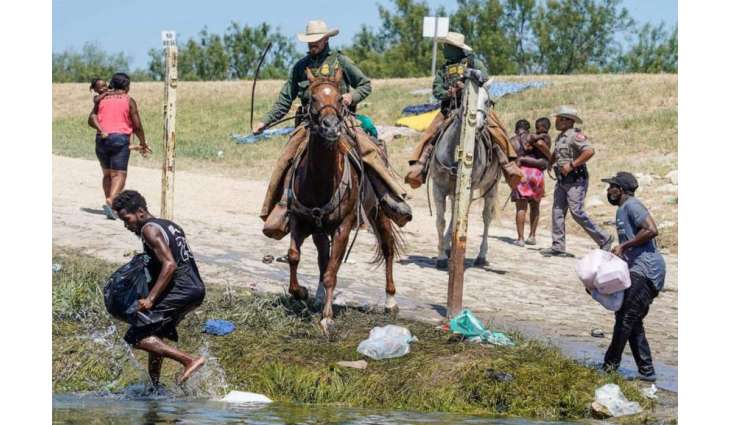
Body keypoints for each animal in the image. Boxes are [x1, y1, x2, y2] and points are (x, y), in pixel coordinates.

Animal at [286, 67, 401, 333]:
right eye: (312, 98)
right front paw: (301, 292)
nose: (330, 127)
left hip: (378, 212)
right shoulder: (300, 220)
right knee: (322, 257)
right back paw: (318, 295)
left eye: (340, 98)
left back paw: (390, 300)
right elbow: (295, 257)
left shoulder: (343, 227)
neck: (320, 181)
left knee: (388, 248)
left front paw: (327, 317)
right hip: (320, 230)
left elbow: (332, 272)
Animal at [429, 99, 501, 270]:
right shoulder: (438, 187)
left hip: (491, 188)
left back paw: (481, 256)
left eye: (487, 101)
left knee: (486, 218)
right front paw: (441, 257)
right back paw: (448, 247)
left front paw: (445, 254)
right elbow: (441, 221)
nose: (478, 126)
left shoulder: (469, 189)